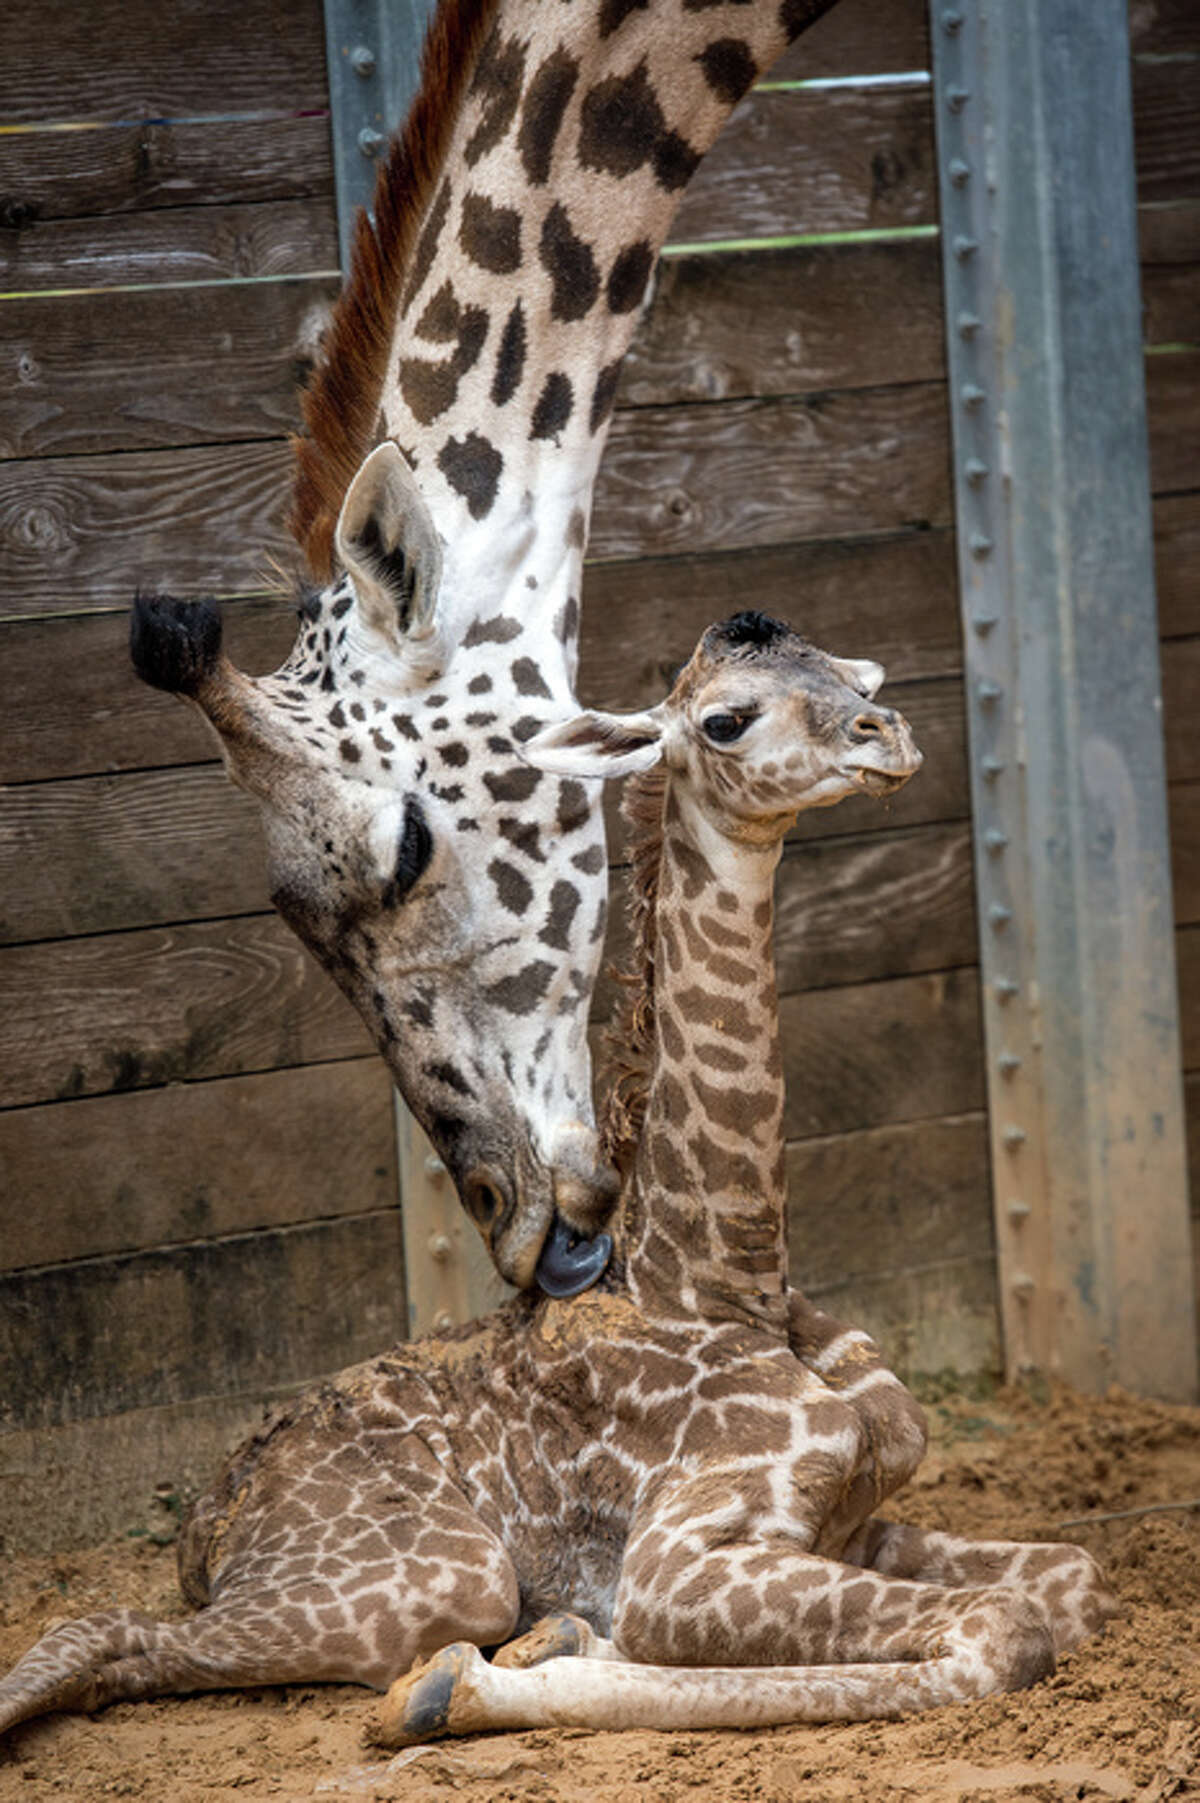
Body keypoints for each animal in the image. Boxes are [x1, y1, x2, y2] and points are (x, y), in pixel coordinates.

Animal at [0, 620, 1102, 1745]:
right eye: (726, 720)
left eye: (850, 675)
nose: (889, 735)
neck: (726, 1273)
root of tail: (209, 1517)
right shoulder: (677, 1559)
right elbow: (1002, 1629)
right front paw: (461, 1685)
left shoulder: (854, 1520)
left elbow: (1076, 1574)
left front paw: (550, 1643)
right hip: (443, 1572)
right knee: (97, 1628)